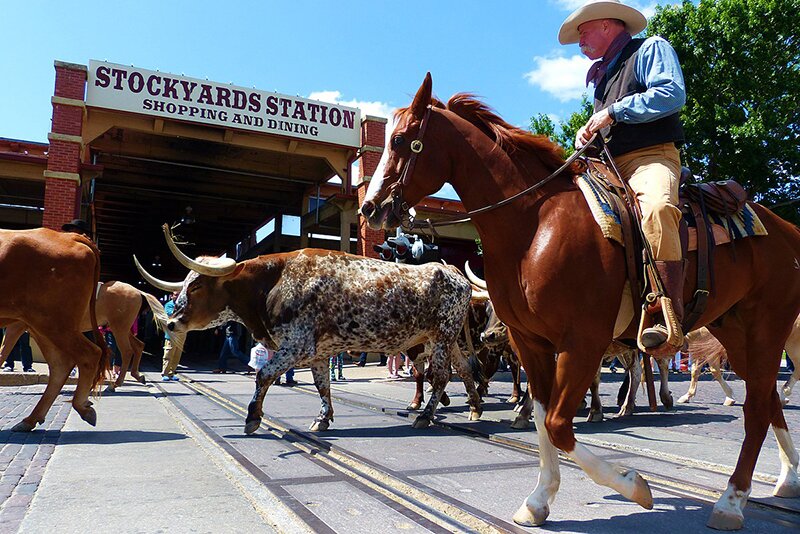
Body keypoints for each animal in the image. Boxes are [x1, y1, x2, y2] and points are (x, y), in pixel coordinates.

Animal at [0, 228, 108, 434]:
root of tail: (70, 236)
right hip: (40, 325)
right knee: (61, 365)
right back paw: (30, 420)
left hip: (52, 322)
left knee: (88, 354)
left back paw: (82, 407)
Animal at [362, 74, 800, 532]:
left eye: (401, 139)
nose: (371, 207)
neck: (534, 224)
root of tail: (786, 228)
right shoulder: (530, 342)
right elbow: (541, 417)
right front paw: (539, 499)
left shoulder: (583, 341)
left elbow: (558, 423)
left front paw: (634, 486)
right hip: (735, 331)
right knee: (768, 400)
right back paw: (787, 479)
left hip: (767, 328)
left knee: (756, 408)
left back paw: (731, 500)